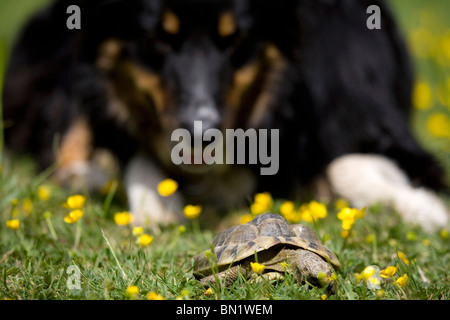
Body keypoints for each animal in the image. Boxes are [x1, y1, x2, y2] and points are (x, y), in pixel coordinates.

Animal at [1, 0, 448, 230]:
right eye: (158, 39)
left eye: (235, 40)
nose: (200, 138)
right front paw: (154, 200)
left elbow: (348, 165)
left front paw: (424, 209)